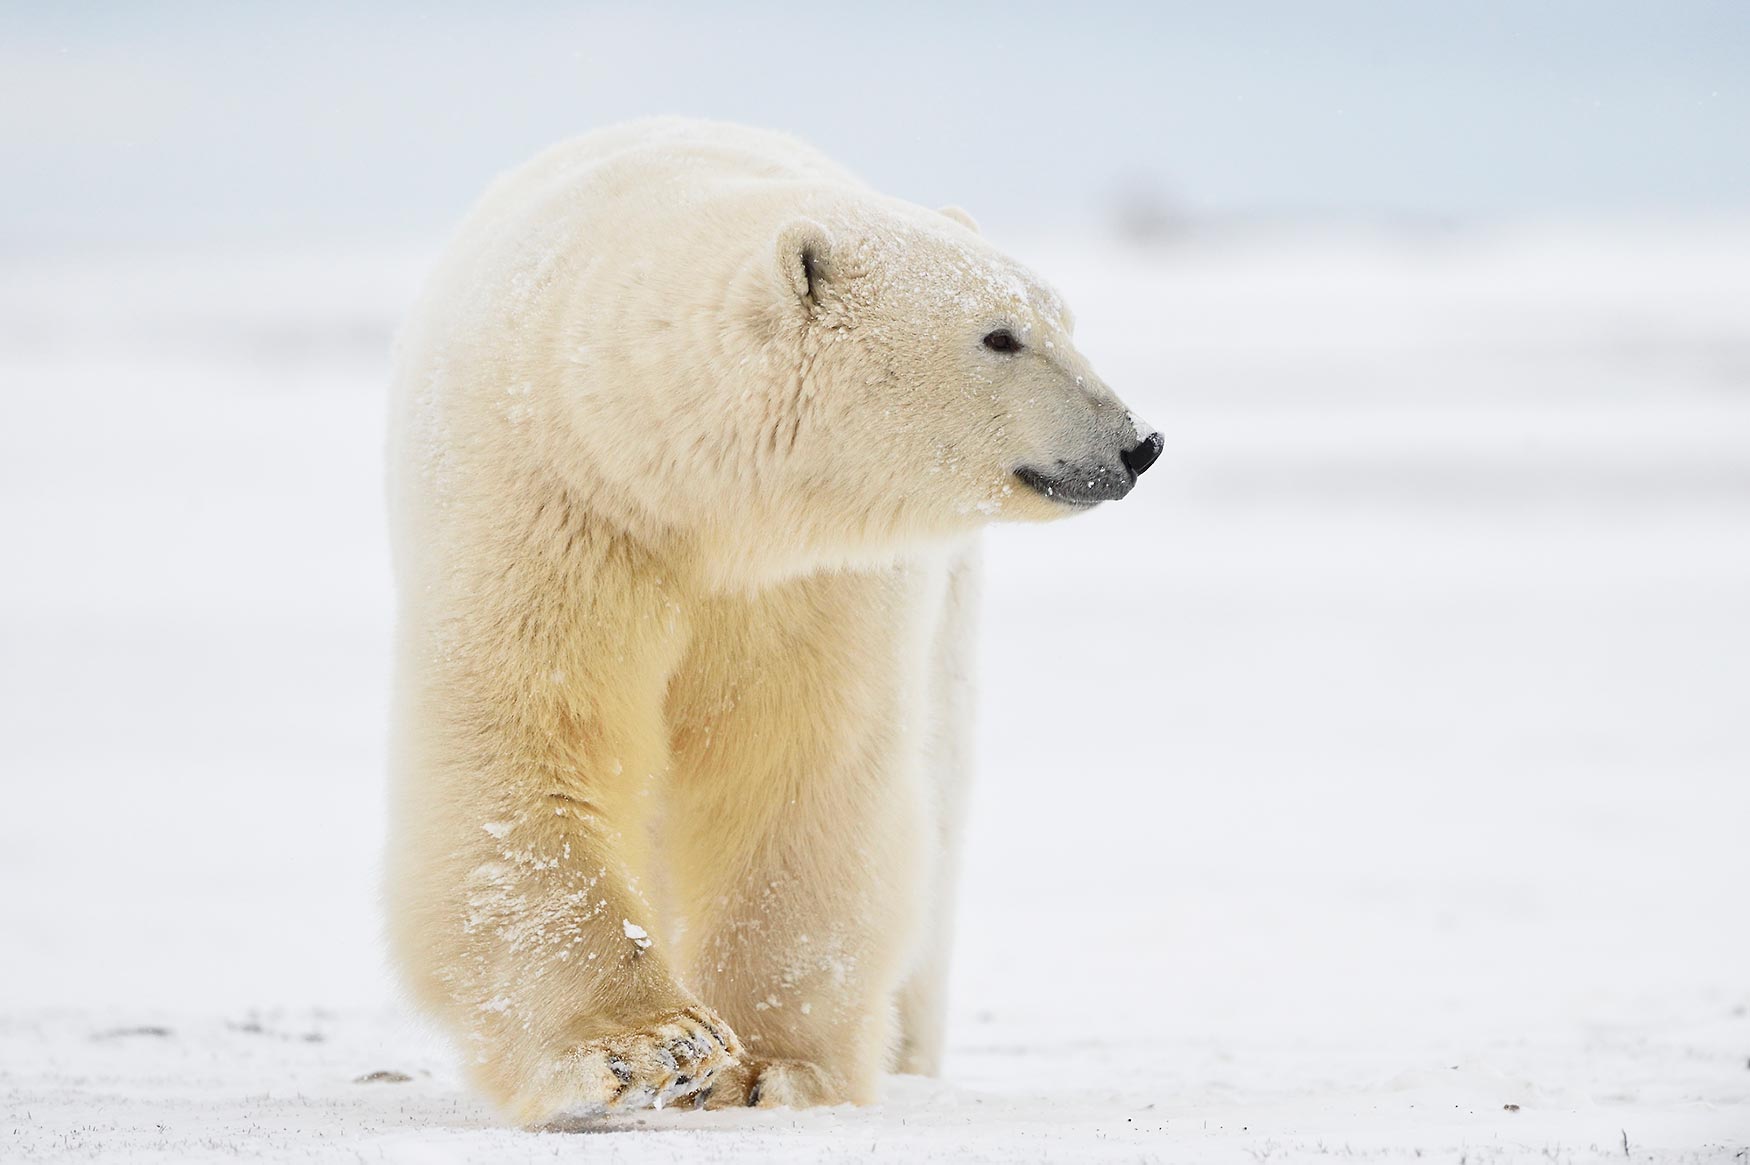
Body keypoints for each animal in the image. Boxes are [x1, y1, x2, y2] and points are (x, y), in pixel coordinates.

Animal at [383, 115, 1162, 1119]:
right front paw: (649, 1049)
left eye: (1064, 318)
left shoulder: (809, 576)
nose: (1138, 442)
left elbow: (799, 769)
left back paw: (910, 1053)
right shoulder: (552, 501)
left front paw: (769, 1066)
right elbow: (529, 738)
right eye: (1000, 335)